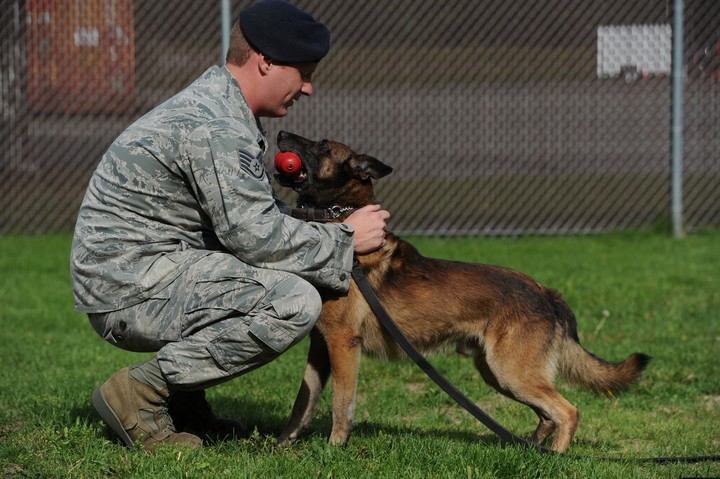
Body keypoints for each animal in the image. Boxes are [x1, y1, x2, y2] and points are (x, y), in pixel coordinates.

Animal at [272, 130, 652, 454]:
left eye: (322, 145)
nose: (280, 134)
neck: (341, 221)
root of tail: (547, 294)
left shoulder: (343, 343)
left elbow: (341, 404)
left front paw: (335, 447)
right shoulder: (320, 347)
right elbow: (303, 401)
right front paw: (282, 444)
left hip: (511, 373)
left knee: (567, 411)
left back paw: (556, 457)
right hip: (499, 374)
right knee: (548, 415)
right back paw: (533, 450)